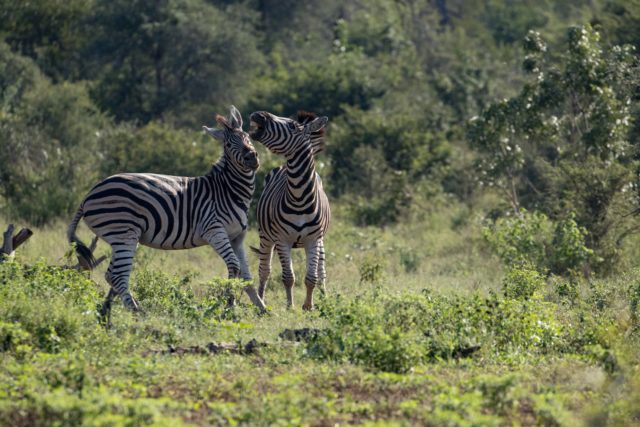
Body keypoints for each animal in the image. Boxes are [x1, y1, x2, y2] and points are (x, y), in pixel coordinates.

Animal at [67, 106, 266, 319]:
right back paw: (136, 312)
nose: (252, 157)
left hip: (121, 238)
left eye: (247, 137)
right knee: (118, 275)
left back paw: (107, 311)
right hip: (123, 233)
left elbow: (246, 275)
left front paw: (262, 308)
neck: (228, 190)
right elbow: (234, 267)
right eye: (228, 144)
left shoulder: (237, 237)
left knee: (110, 274)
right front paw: (229, 306)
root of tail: (88, 195)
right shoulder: (215, 231)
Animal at [248, 110, 330, 310]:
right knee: (264, 271)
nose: (258, 114)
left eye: (292, 125)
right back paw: (261, 300)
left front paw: (309, 306)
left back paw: (325, 298)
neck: (300, 198)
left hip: (320, 240)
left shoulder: (313, 240)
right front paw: (289, 306)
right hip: (265, 236)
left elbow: (311, 278)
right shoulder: (282, 239)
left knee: (321, 272)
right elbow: (288, 277)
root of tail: (284, 166)